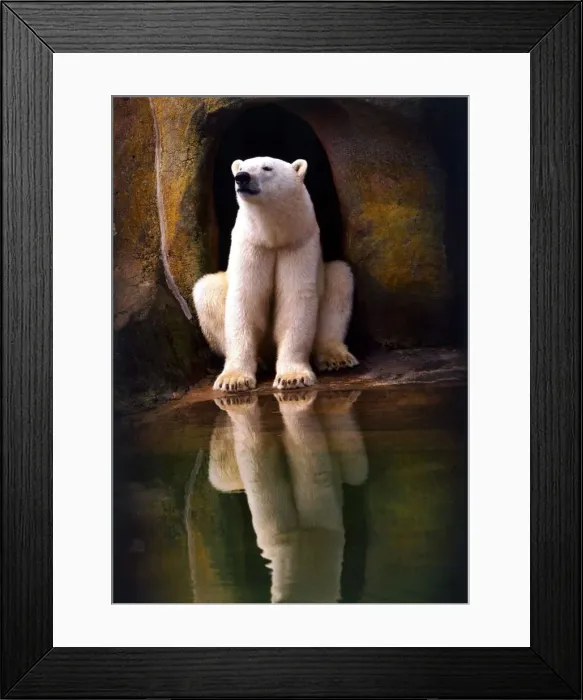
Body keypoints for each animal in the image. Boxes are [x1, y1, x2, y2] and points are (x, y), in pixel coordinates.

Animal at [193, 156, 358, 392]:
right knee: (206, 290)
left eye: (267, 168)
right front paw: (233, 379)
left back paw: (336, 357)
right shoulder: (251, 245)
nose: (241, 177)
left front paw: (292, 377)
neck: (273, 237)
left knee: (340, 278)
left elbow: (295, 300)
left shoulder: (298, 243)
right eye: (242, 167)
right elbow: (245, 299)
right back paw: (260, 361)